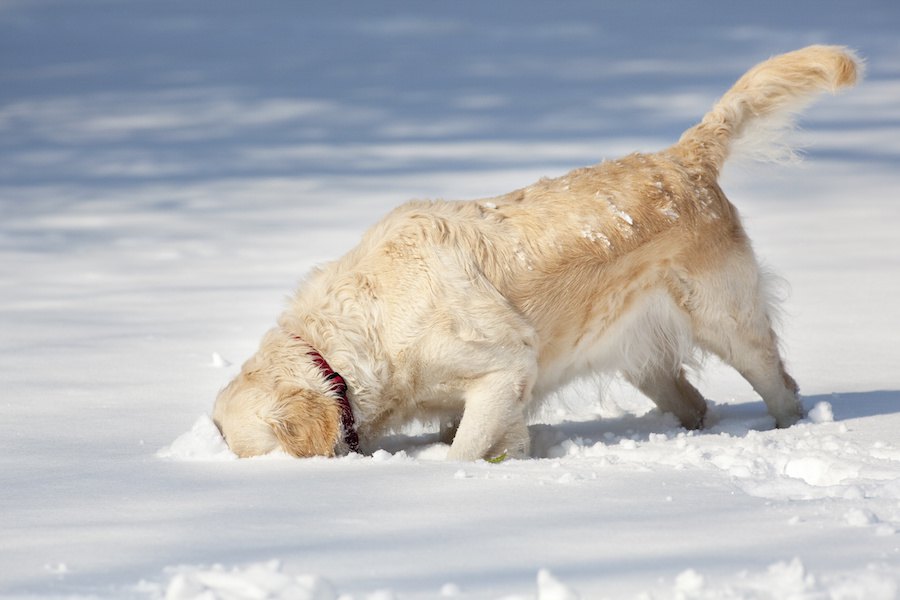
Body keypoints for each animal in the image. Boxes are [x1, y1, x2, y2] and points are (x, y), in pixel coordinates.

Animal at [211, 45, 856, 460]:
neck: (357, 337)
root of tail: (683, 157)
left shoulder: (505, 366)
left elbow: (464, 450)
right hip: (642, 353)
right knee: (693, 401)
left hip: (728, 320)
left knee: (781, 383)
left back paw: (789, 431)